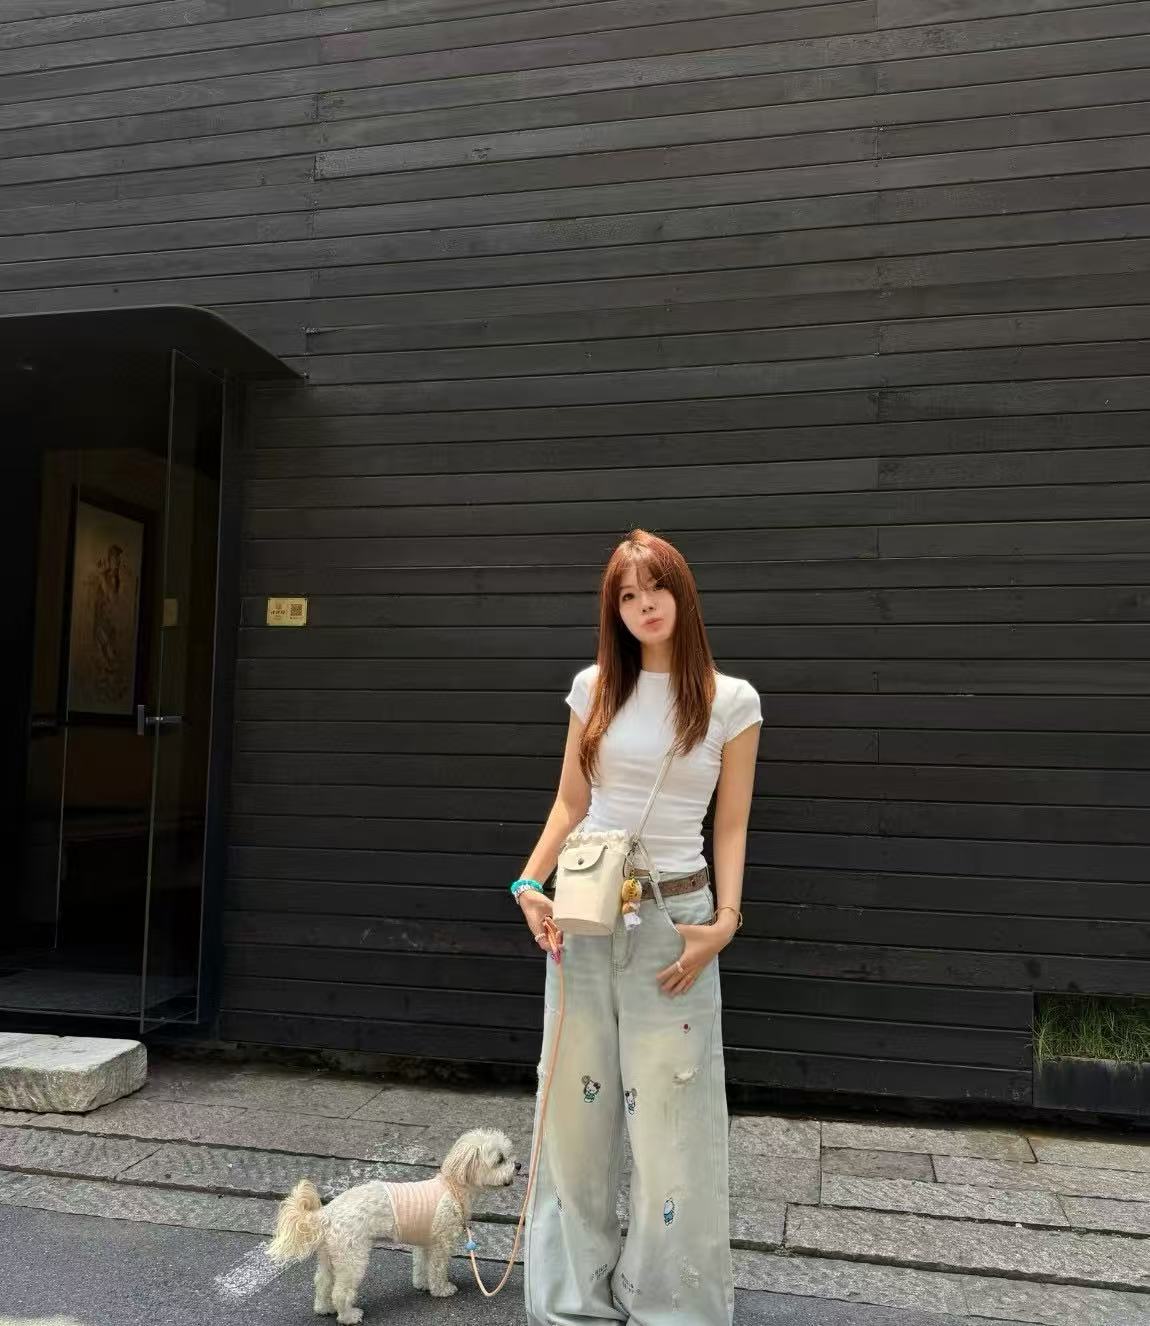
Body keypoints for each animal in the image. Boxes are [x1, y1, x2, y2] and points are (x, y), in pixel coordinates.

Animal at [266, 1128, 519, 1322]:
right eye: (500, 1159)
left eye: (509, 1155)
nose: (518, 1166)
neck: (454, 1186)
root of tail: (327, 1213)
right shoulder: (441, 1243)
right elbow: (437, 1269)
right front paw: (442, 1290)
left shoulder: (425, 1242)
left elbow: (421, 1266)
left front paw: (422, 1285)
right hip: (352, 1257)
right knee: (341, 1291)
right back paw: (349, 1316)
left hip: (330, 1254)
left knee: (322, 1282)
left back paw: (324, 1308)